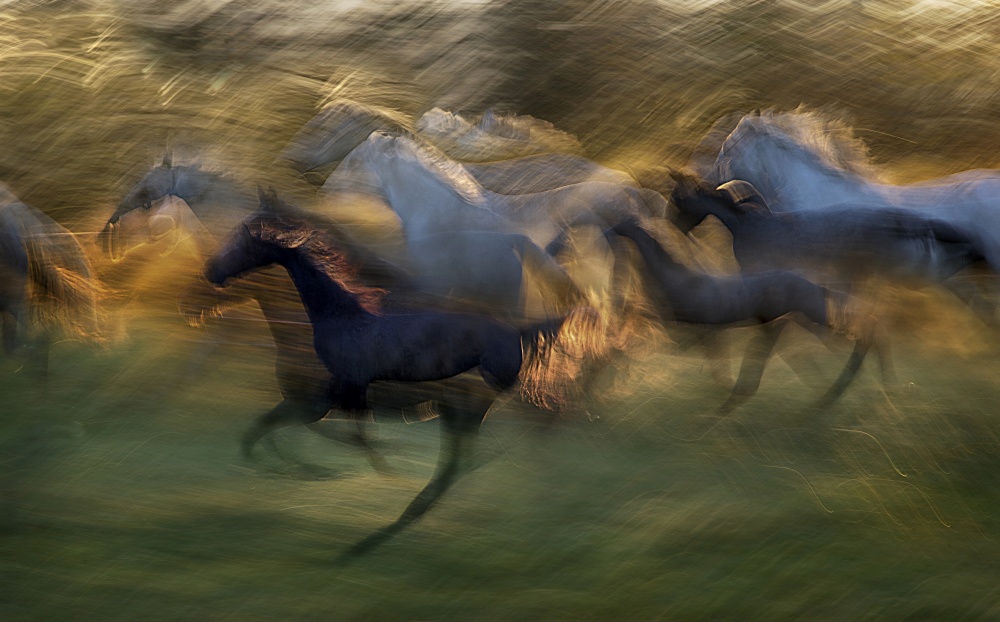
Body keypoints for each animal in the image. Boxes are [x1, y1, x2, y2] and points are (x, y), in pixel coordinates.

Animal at [203, 189, 600, 556]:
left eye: (240, 241)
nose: (210, 272)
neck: (339, 313)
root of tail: (517, 329)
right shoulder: (336, 395)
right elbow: (284, 430)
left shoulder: (343, 390)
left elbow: (354, 436)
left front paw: (381, 469)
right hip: (465, 410)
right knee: (481, 452)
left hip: (475, 404)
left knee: (481, 450)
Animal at [605, 217, 892, 413]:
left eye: (618, 225)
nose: (606, 232)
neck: (672, 278)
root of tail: (816, 285)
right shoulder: (692, 323)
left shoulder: (680, 318)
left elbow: (643, 320)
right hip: (806, 319)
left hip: (815, 317)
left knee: (862, 333)